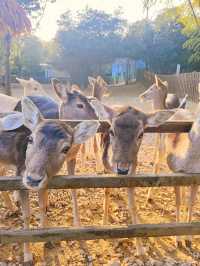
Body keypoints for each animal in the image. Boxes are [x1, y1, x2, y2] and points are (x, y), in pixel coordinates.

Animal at [0, 97, 99, 264]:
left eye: (66, 148)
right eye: (30, 139)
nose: (33, 178)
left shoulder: (46, 180)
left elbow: (42, 206)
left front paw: (46, 238)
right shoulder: (21, 174)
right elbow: (26, 214)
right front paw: (28, 256)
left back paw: (13, 206)